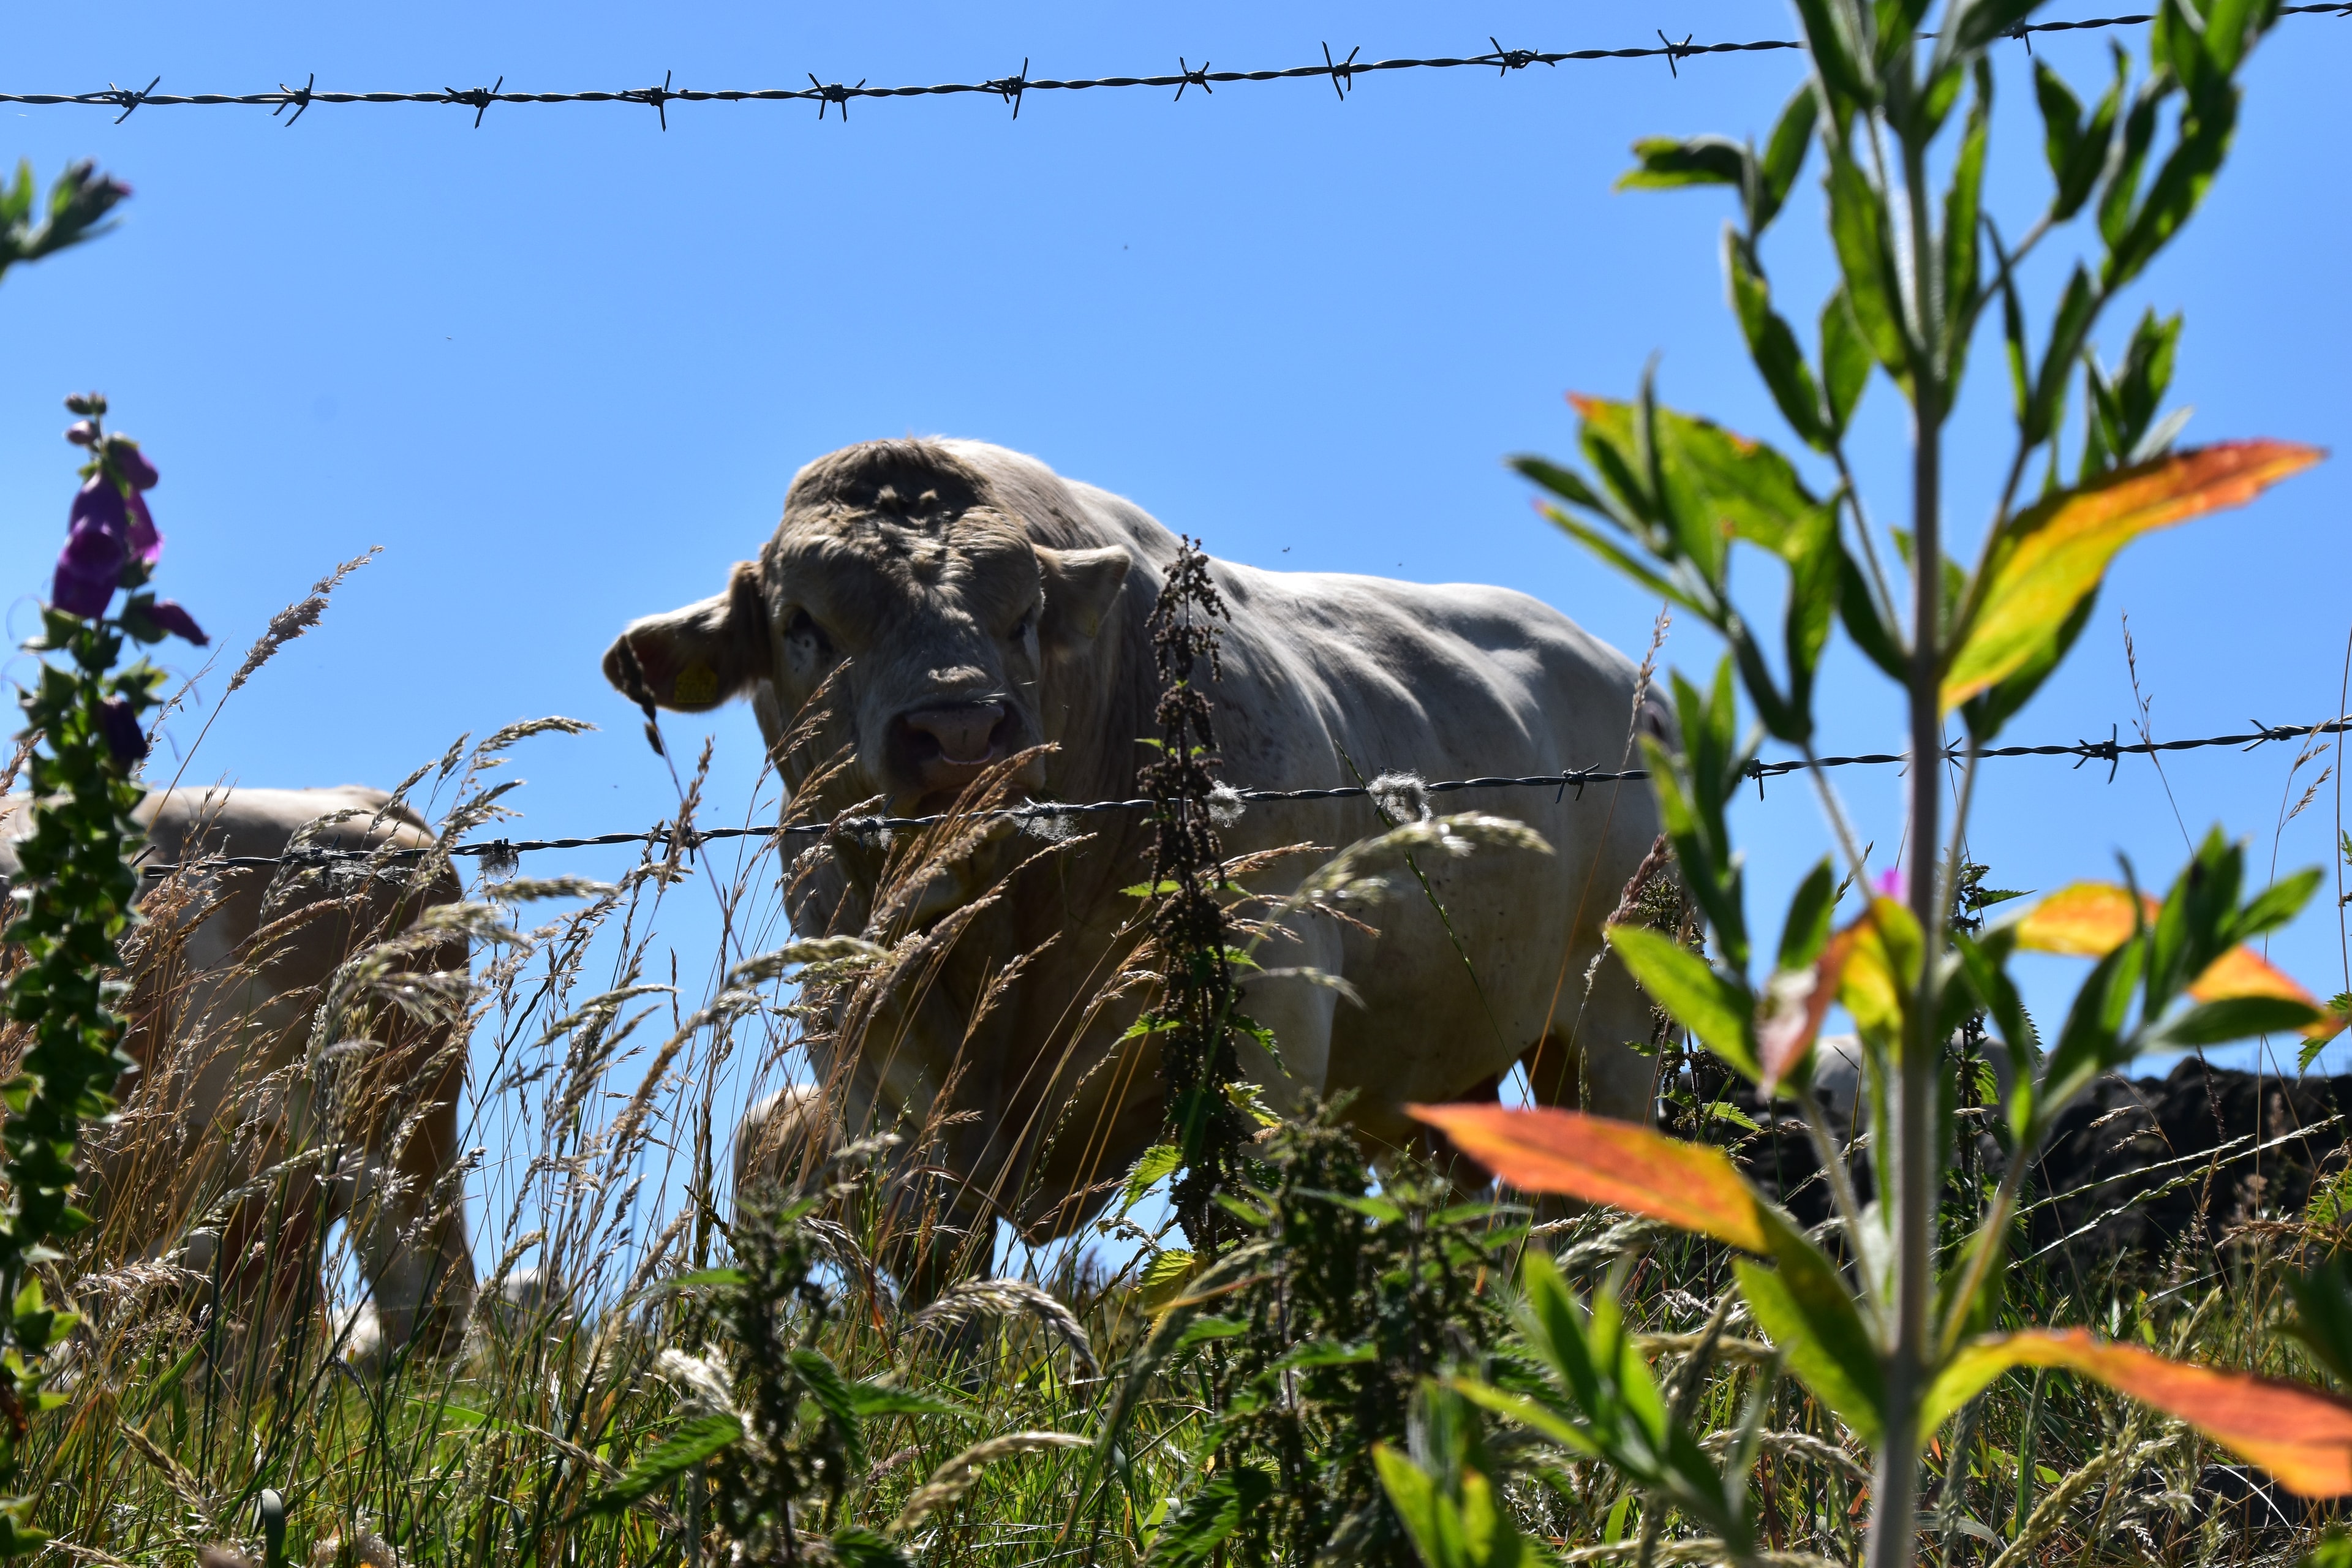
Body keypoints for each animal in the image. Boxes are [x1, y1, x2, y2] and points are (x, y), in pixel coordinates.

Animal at [603, 438, 1666, 1285]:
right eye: (803, 624)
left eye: (1025, 615)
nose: (960, 730)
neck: (1001, 923)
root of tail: (1620, 673)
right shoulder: (870, 1053)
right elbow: (937, 1264)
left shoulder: (1269, 1002)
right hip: (1431, 1077)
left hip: (1613, 1016)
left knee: (1605, 1210)